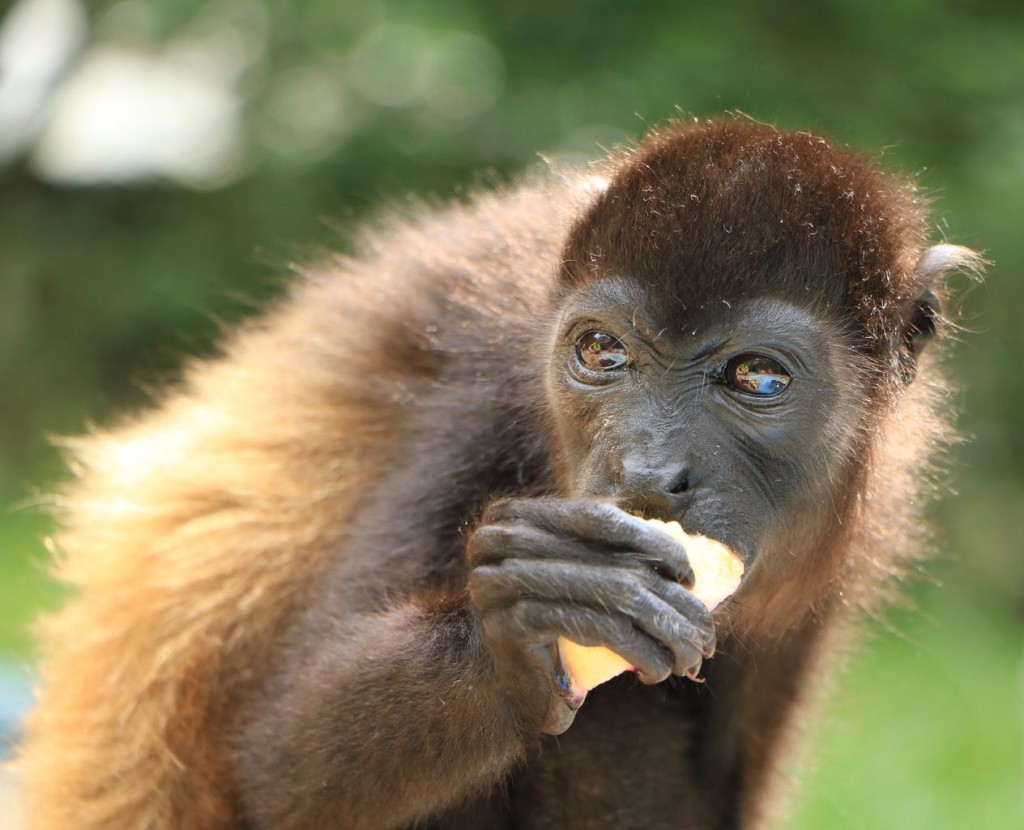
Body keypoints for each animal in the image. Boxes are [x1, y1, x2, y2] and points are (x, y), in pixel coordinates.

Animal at [15, 118, 981, 829]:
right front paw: (534, 611)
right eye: (601, 352)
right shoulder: (476, 398)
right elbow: (278, 768)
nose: (644, 468)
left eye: (759, 378)